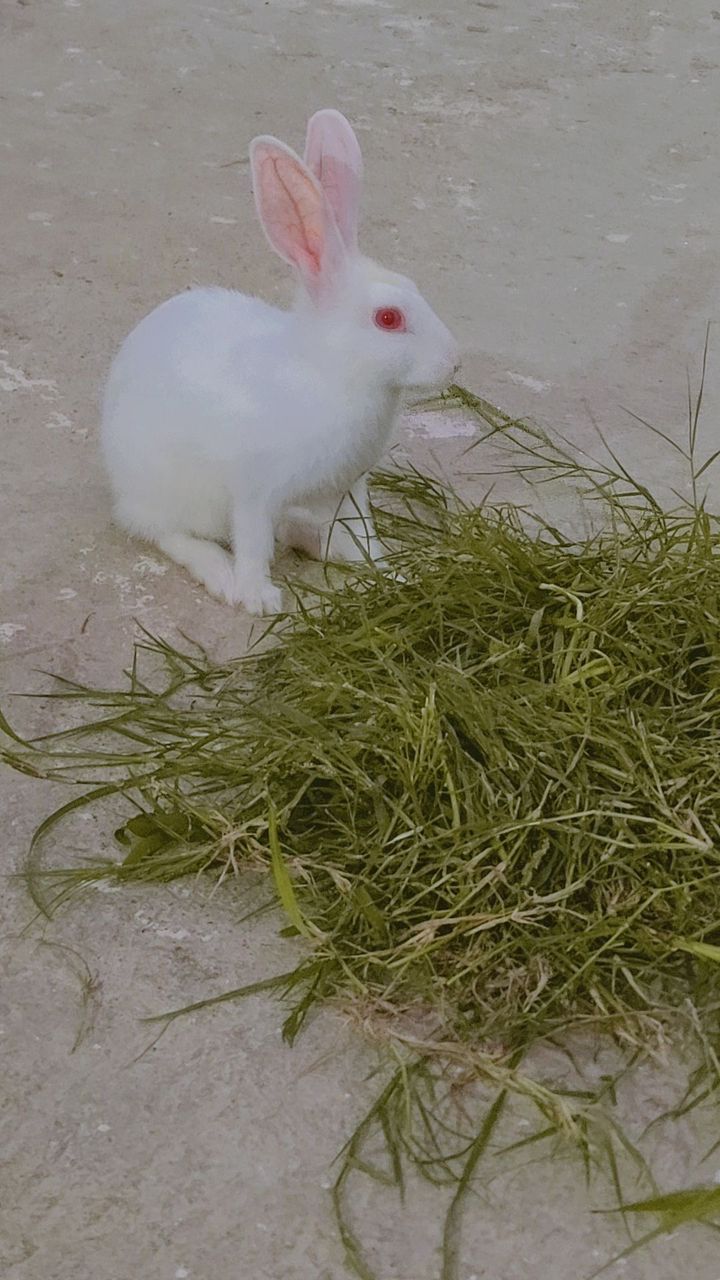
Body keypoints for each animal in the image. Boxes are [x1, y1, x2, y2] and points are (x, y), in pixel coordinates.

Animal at [100, 109, 460, 615]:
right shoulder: (255, 492)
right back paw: (221, 574)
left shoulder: (351, 488)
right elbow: (253, 544)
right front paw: (260, 599)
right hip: (167, 490)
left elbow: (365, 535)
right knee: (166, 533)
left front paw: (391, 574)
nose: (454, 361)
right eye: (388, 319)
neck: (331, 372)